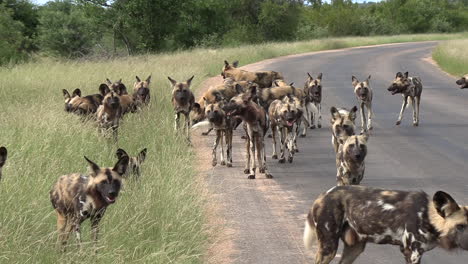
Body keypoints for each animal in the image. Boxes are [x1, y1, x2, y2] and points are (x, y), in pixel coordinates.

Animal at [304, 186, 468, 264]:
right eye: (460, 226)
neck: (428, 215)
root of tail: (323, 195)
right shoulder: (412, 253)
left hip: (355, 248)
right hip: (329, 248)